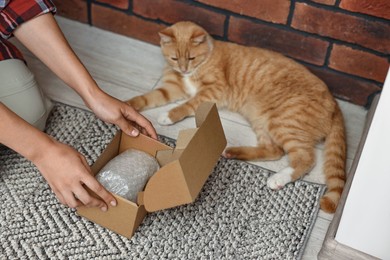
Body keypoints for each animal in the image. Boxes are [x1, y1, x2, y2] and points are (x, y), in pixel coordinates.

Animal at [127, 21, 344, 213]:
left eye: (191, 58)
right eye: (174, 58)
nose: (183, 69)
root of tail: (334, 101)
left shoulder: (213, 91)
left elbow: (187, 105)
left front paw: (169, 115)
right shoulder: (172, 89)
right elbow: (148, 97)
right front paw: (129, 106)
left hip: (284, 122)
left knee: (305, 158)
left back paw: (278, 178)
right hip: (262, 120)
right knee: (274, 150)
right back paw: (234, 152)